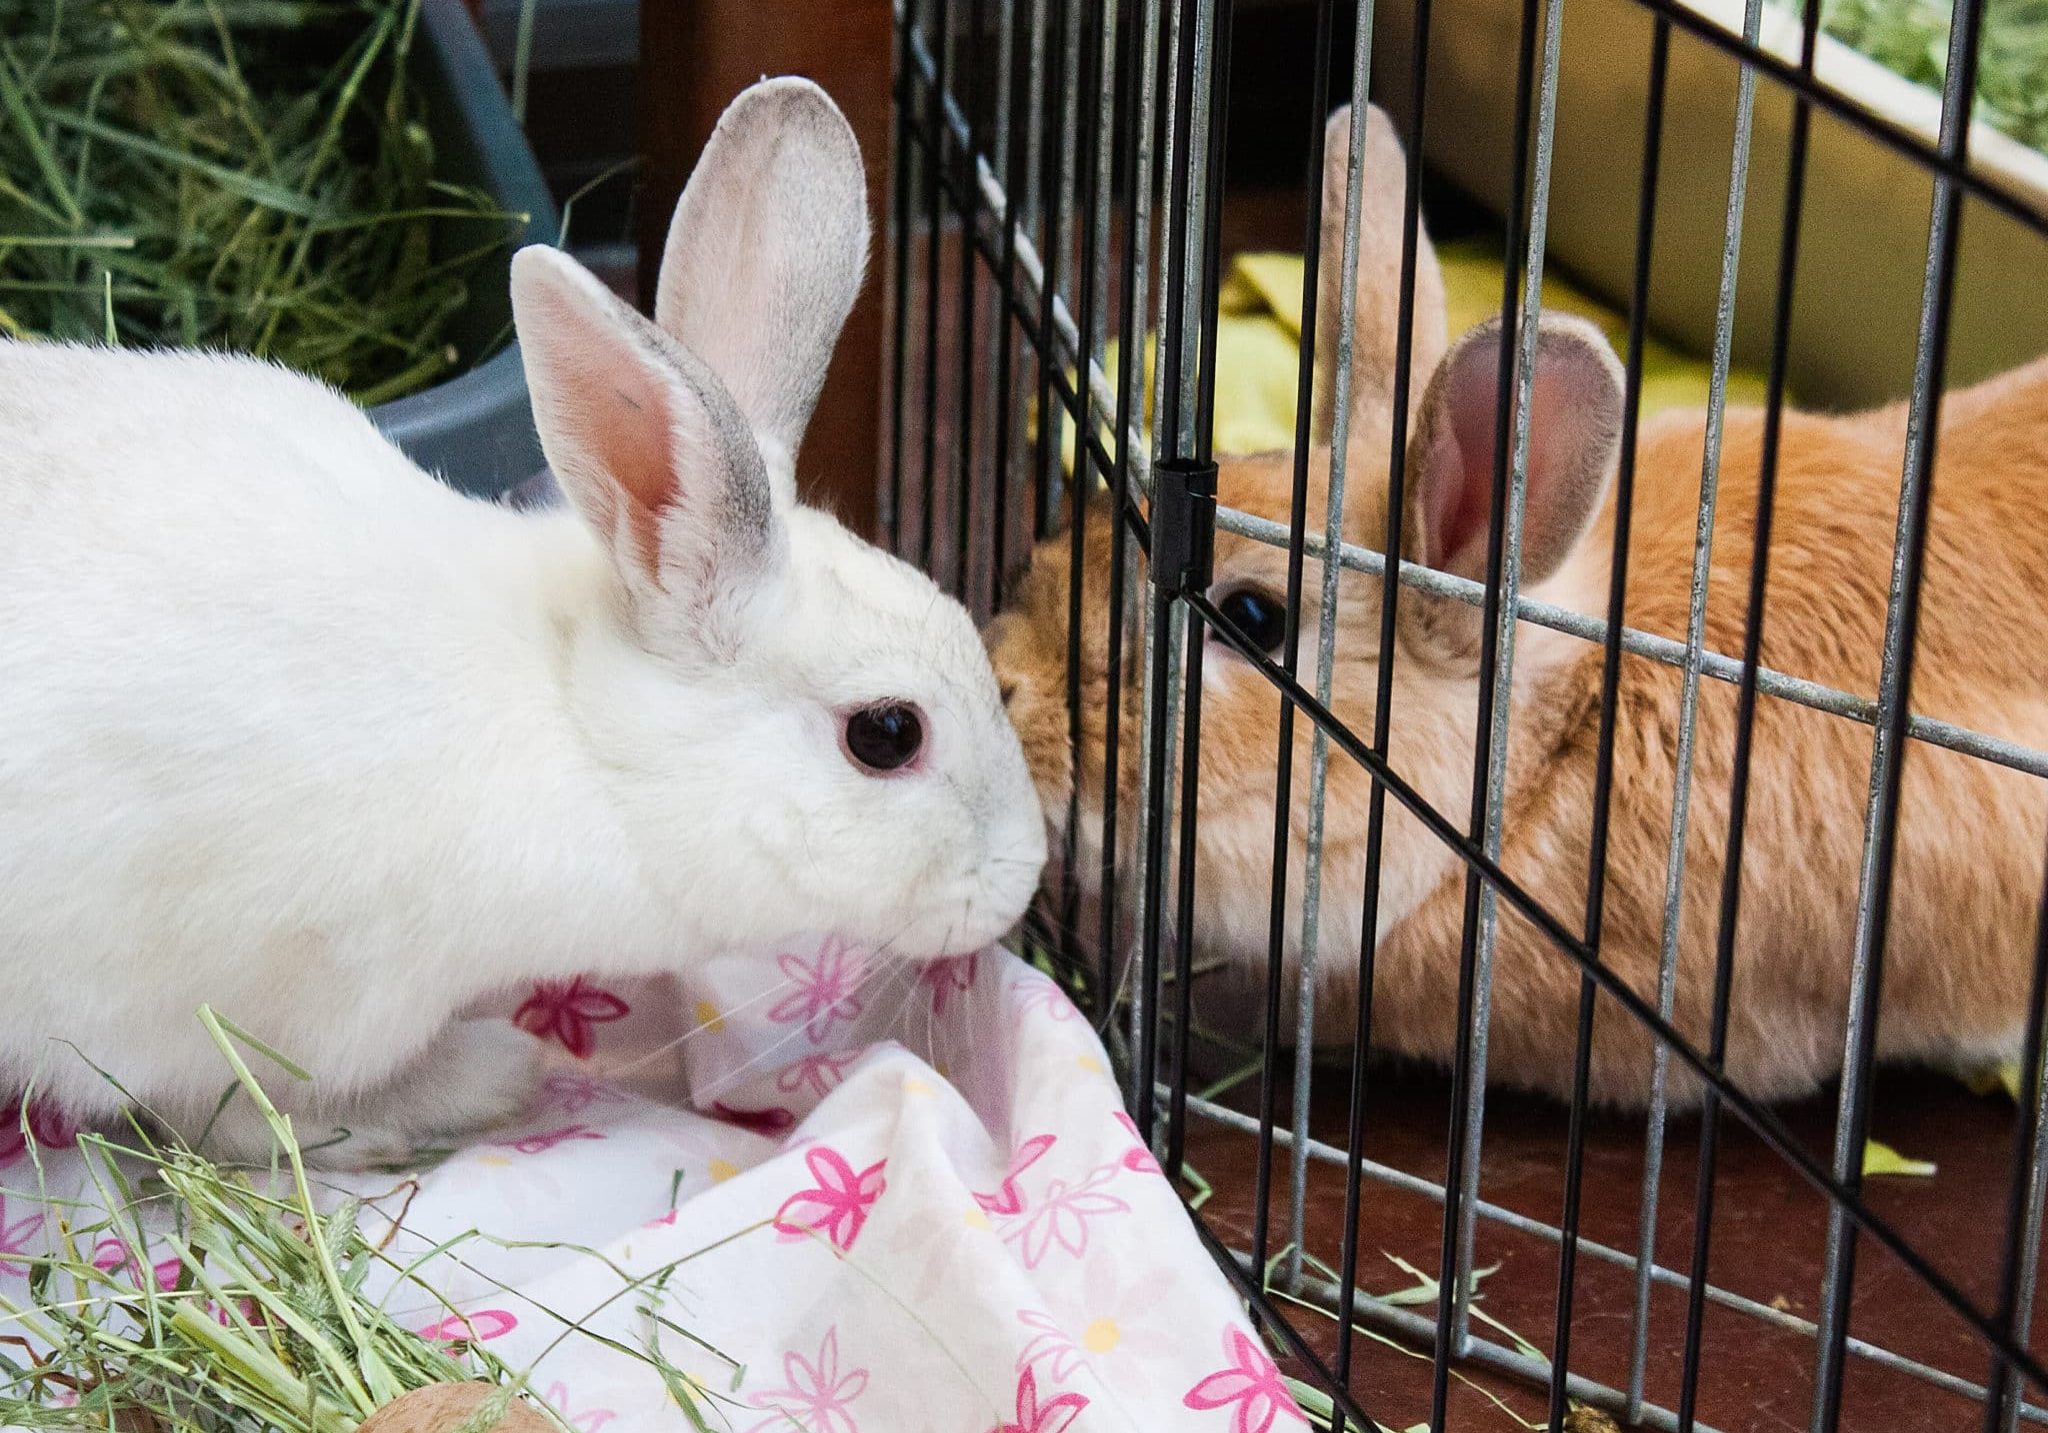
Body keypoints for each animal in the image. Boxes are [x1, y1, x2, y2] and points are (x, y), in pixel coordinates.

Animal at [0, 77, 1045, 1168]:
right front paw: (479, 1079)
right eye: (886, 734)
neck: (583, 733)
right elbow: (248, 1115)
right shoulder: (252, 1018)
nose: (1021, 880)